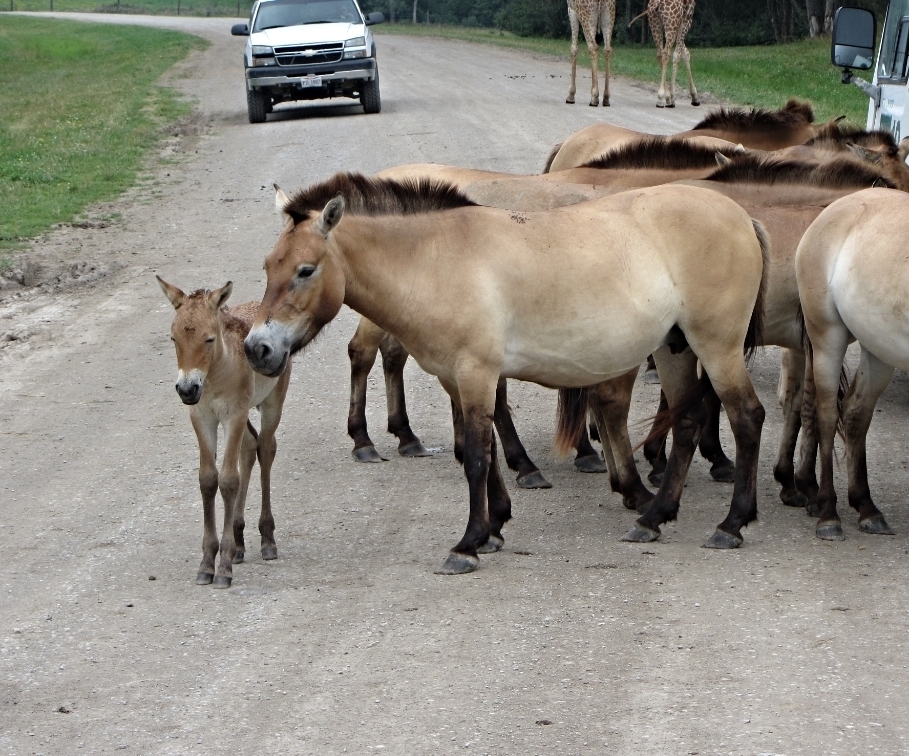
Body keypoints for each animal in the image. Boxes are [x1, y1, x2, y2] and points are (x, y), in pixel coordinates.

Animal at [157, 277, 291, 588]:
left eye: (209, 339)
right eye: (174, 339)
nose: (187, 389)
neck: (216, 375)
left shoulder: (234, 415)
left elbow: (228, 480)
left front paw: (224, 568)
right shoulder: (202, 417)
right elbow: (208, 480)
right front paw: (207, 563)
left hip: (272, 402)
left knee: (266, 448)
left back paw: (267, 539)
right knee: (250, 447)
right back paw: (240, 542)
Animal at [244, 173, 768, 573]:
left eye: (305, 270)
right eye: (268, 266)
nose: (257, 348)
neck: (434, 259)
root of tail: (741, 216)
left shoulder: (476, 372)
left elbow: (477, 455)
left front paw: (468, 543)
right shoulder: (460, 378)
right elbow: (487, 448)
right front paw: (495, 526)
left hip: (716, 348)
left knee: (747, 417)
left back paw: (731, 524)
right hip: (676, 350)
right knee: (686, 424)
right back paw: (654, 517)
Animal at [795, 188, 909, 540]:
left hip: (878, 348)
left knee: (856, 411)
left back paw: (867, 508)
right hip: (827, 338)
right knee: (828, 416)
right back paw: (828, 513)